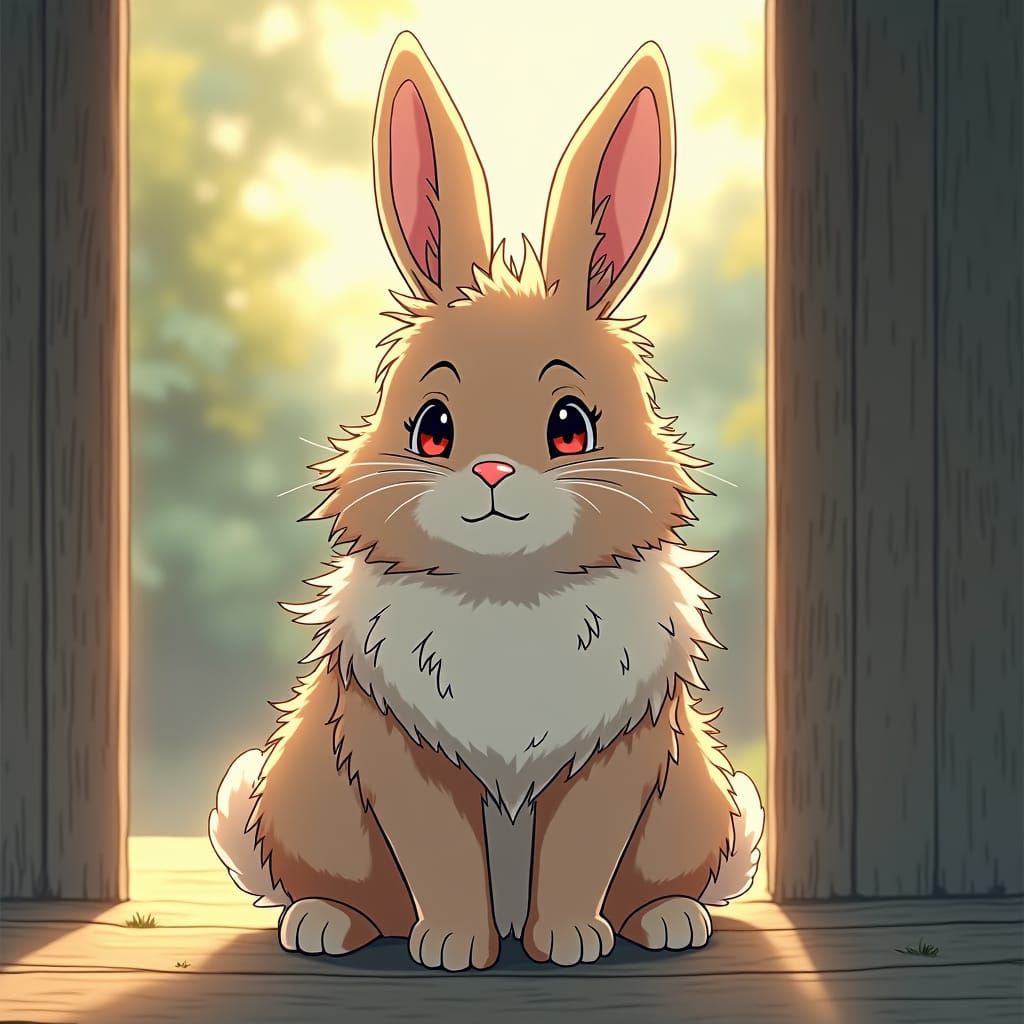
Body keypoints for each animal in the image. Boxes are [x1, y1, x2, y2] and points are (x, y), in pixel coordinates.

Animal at [209, 30, 763, 973]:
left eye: (571, 426)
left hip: (692, 800)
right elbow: (440, 858)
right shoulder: (402, 758)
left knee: (660, 881)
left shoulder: (615, 760)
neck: (511, 595)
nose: (495, 474)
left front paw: (570, 943)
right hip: (310, 797)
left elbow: (580, 856)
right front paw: (454, 949)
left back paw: (668, 922)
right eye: (433, 428)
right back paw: (321, 925)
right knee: (353, 894)